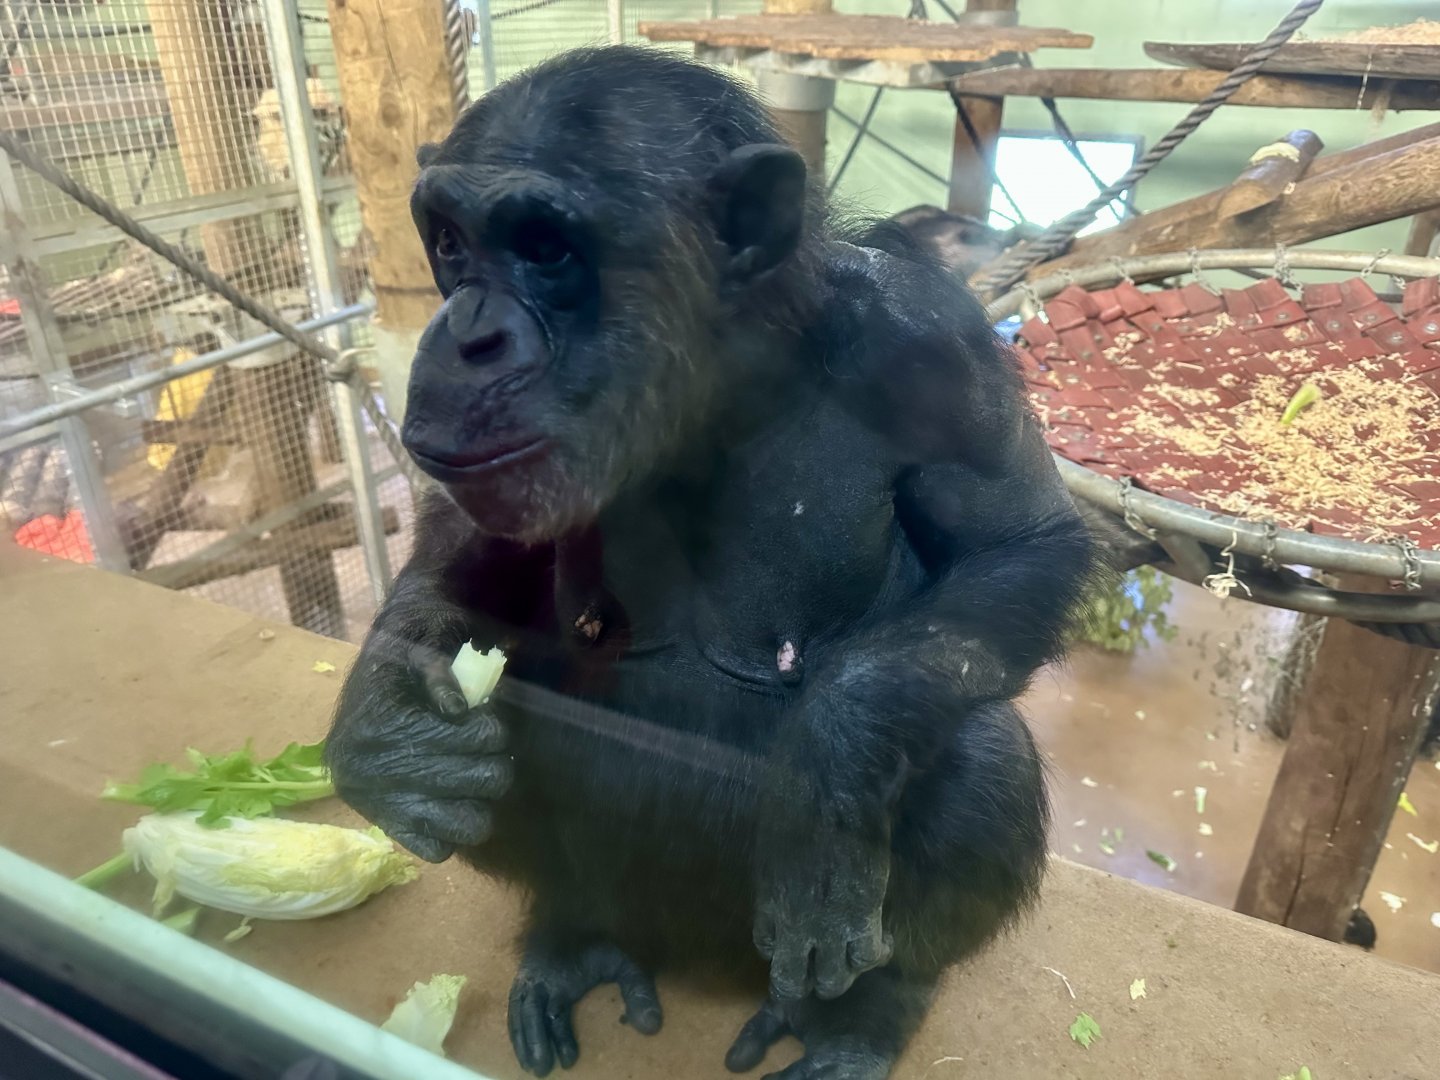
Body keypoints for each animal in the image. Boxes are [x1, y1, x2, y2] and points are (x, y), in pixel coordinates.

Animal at [327, 46, 1094, 1080]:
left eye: (547, 247)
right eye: (450, 243)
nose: (468, 332)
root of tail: (695, 955)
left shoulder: (938, 345)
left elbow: (1020, 539)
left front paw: (829, 786)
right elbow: (472, 537)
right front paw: (387, 717)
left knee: (984, 754)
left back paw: (861, 1019)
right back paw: (571, 940)